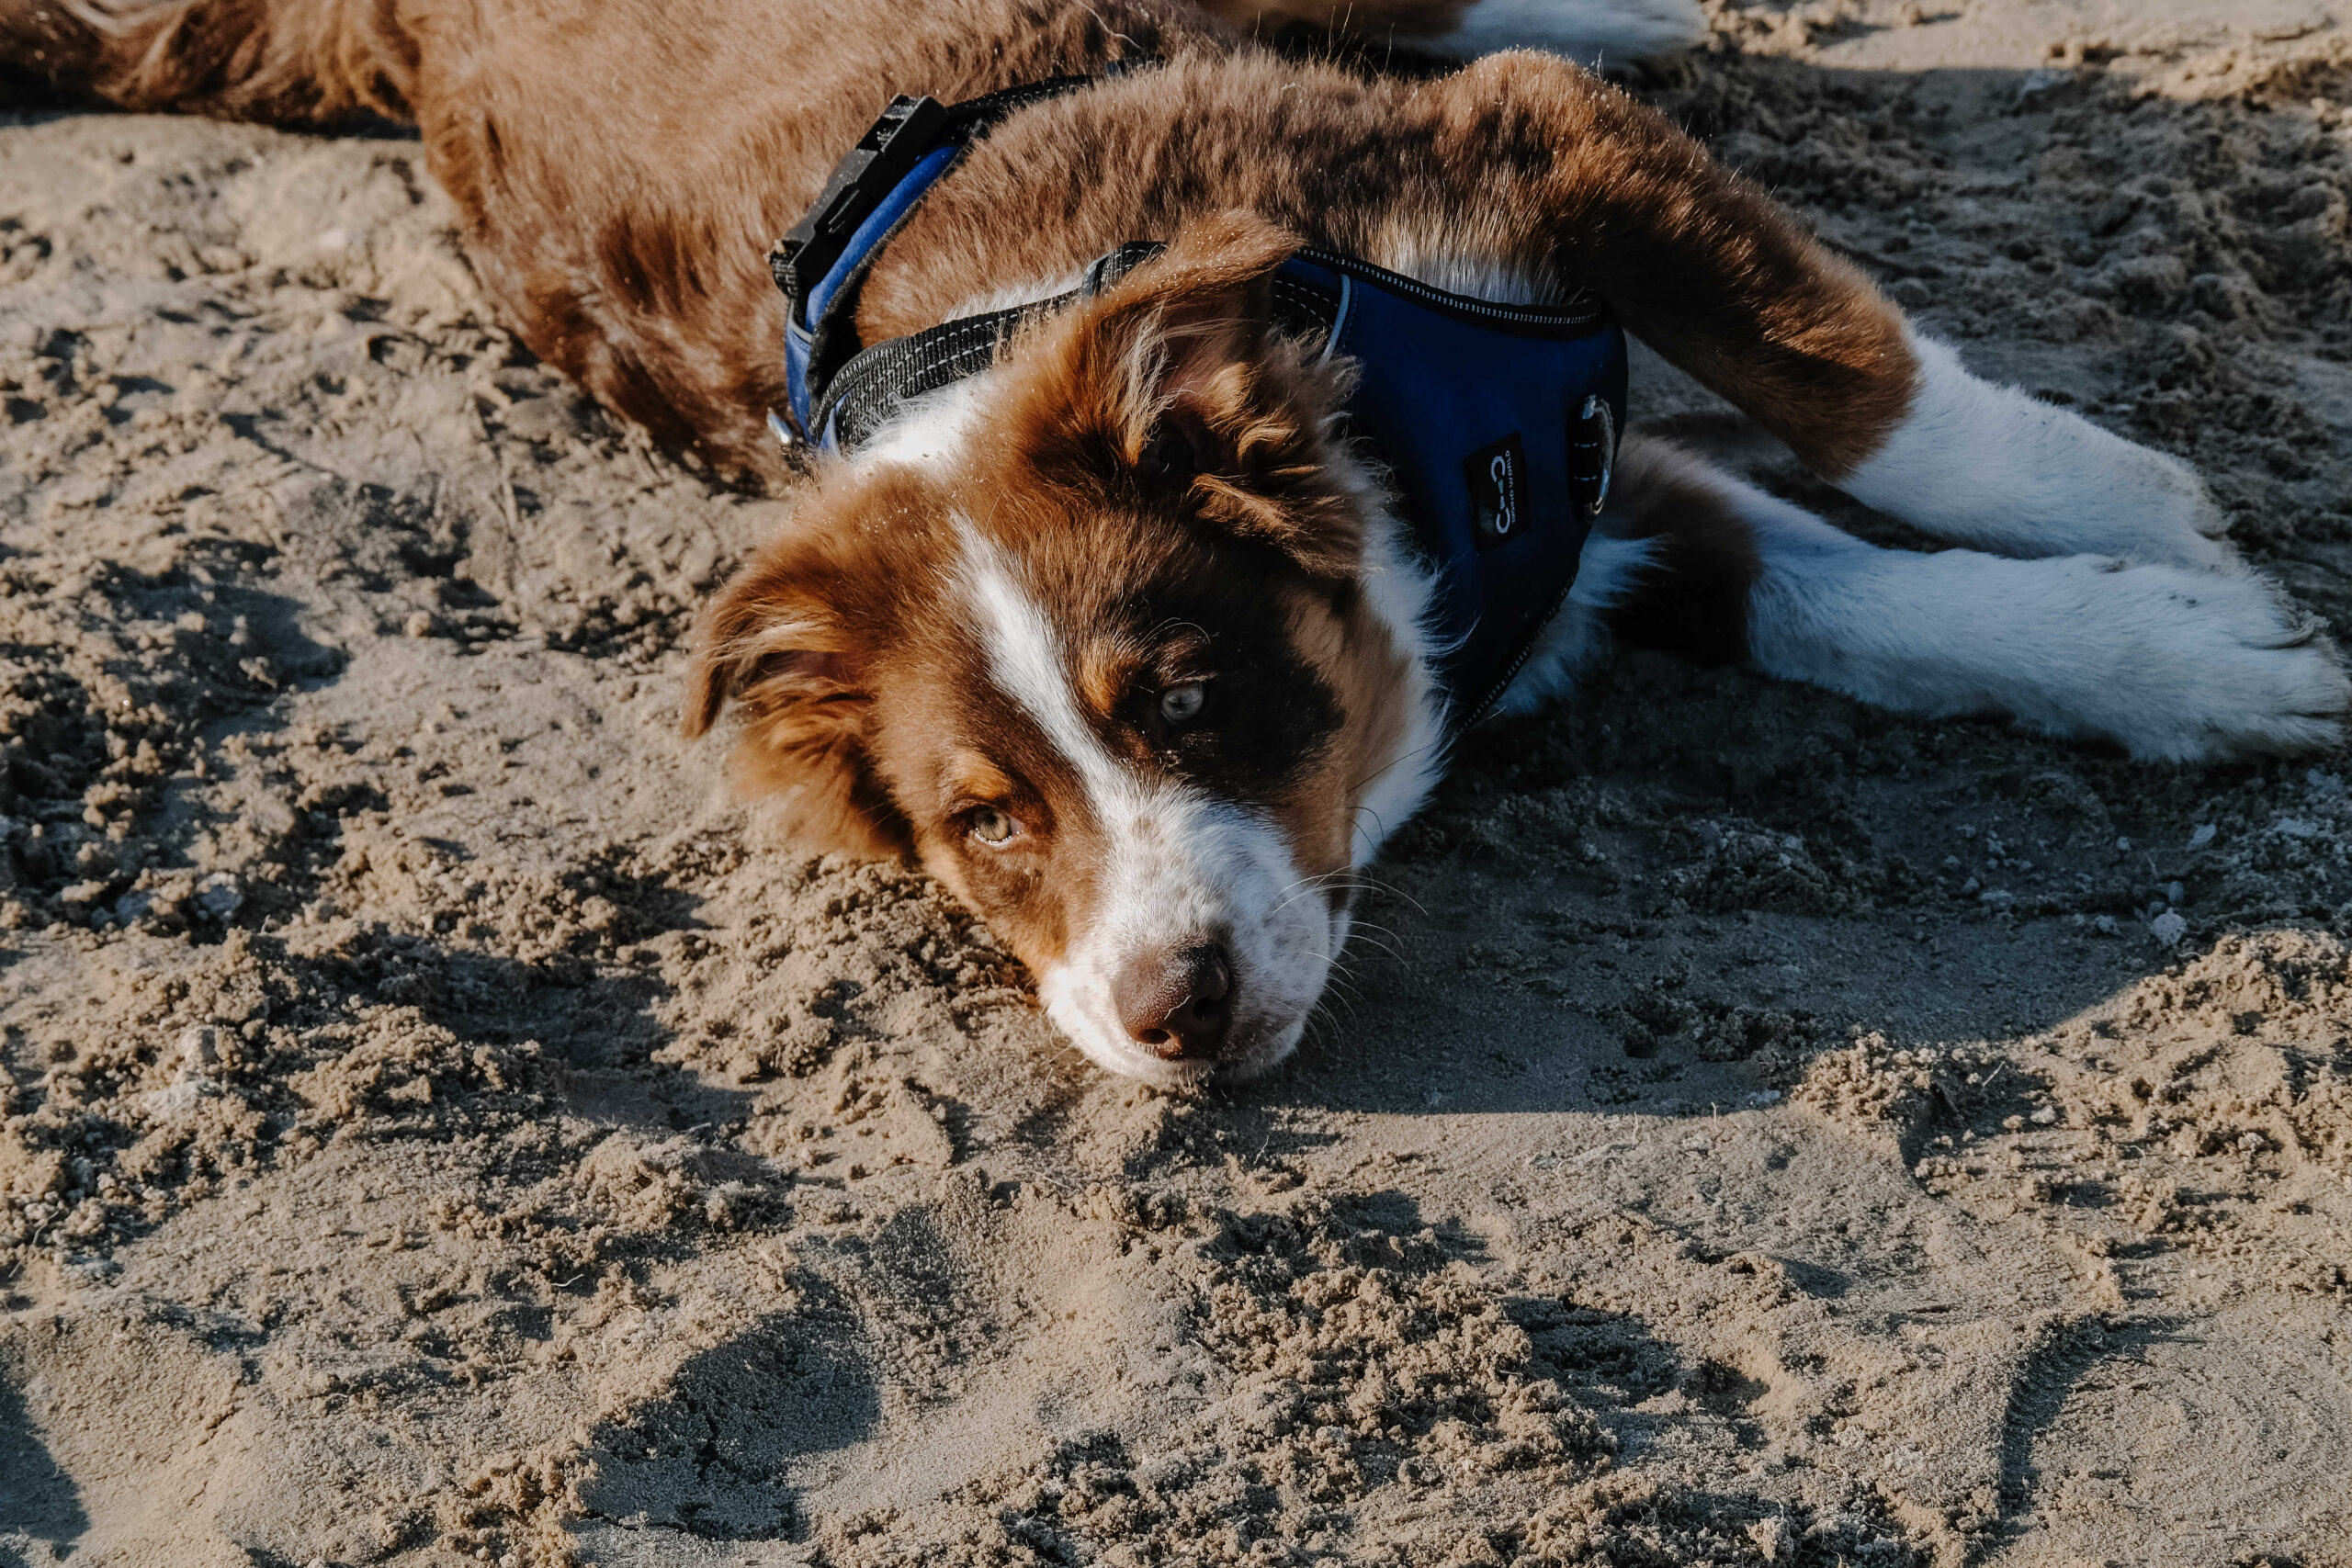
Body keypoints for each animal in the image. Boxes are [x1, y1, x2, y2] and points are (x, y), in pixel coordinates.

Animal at [11, 0, 2347, 1088]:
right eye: (979, 823)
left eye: (1199, 696)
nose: (1173, 1015)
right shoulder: (1546, 539)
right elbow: (1846, 601)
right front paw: (2176, 648)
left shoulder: (1527, 167)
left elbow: (1881, 400)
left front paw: (2144, 523)